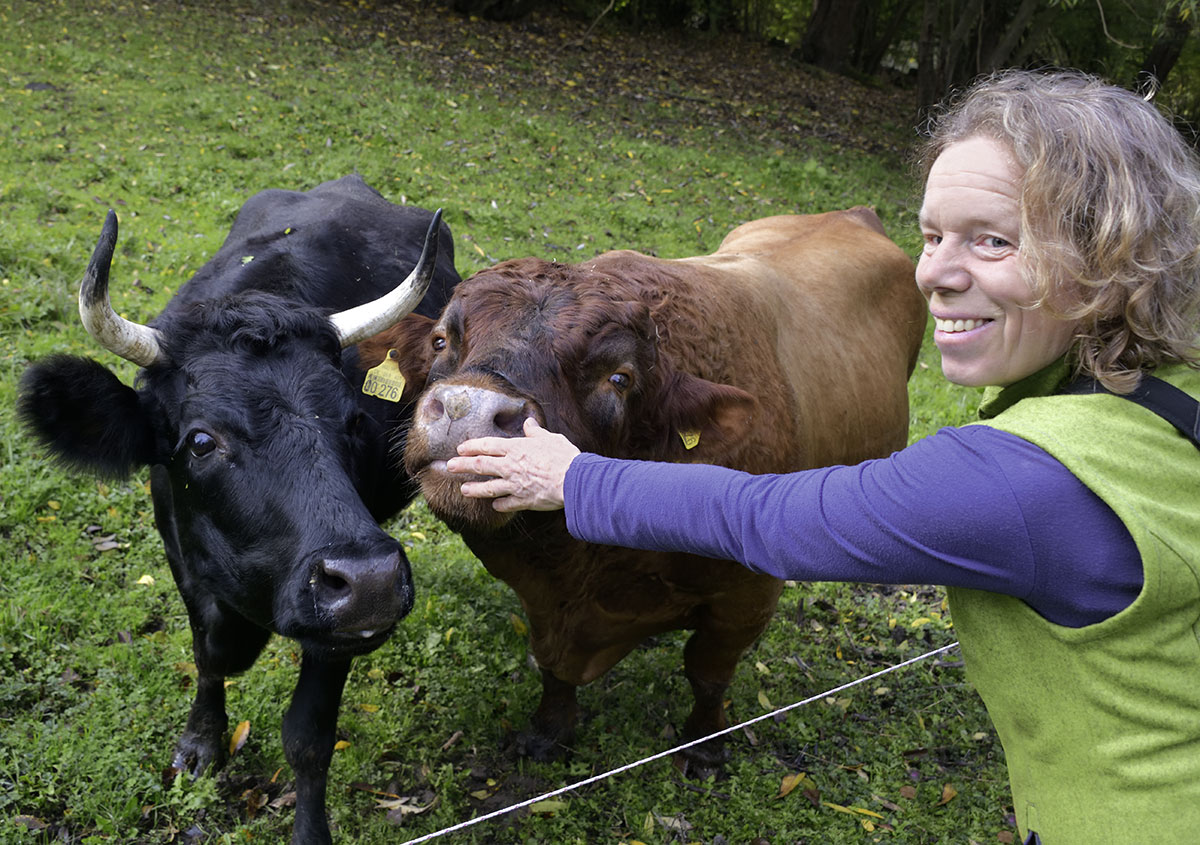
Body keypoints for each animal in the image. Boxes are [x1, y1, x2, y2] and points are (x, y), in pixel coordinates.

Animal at [19, 172, 458, 845]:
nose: (372, 581)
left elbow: (308, 738)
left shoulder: (339, 628)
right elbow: (207, 656)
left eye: (354, 422)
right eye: (201, 441)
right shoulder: (181, 556)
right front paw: (202, 743)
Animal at [360, 207, 921, 768]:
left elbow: (708, 675)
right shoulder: (544, 602)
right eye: (441, 340)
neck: (588, 563)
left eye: (619, 378)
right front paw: (548, 731)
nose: (466, 409)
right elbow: (552, 668)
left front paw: (705, 746)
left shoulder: (746, 598)